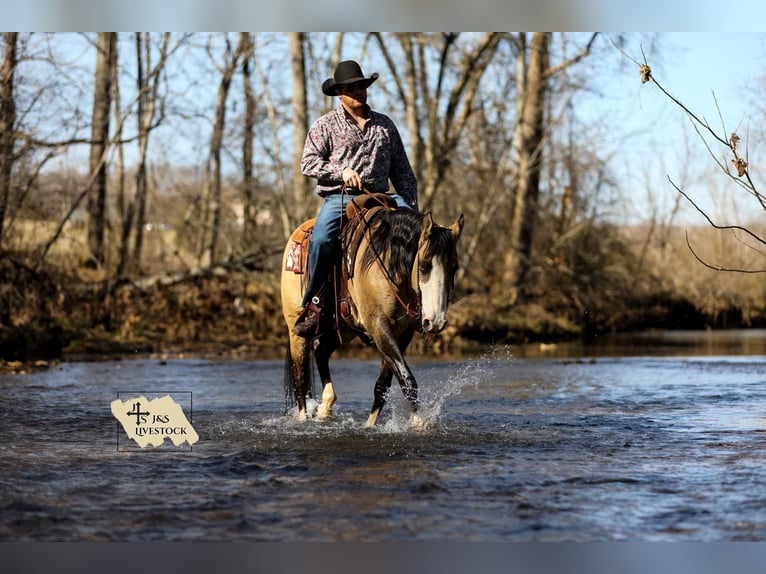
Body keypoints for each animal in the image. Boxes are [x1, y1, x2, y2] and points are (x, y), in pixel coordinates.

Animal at [280, 200, 464, 428]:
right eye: (424, 266)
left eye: (454, 268)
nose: (436, 322)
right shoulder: (379, 326)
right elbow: (406, 378)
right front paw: (419, 421)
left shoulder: (402, 332)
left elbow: (384, 384)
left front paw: (370, 425)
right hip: (295, 332)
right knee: (301, 377)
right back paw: (304, 418)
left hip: (345, 327)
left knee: (321, 349)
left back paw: (326, 406)